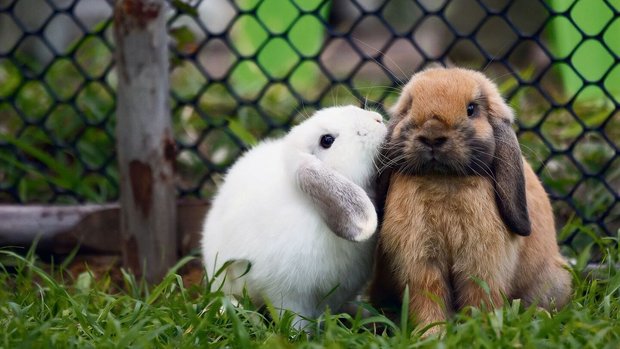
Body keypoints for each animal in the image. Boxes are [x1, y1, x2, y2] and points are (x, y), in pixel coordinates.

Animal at [370, 66, 572, 330]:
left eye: (471, 109)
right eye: (410, 106)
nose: (432, 135)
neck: (443, 180)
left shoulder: (481, 263)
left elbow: (480, 296)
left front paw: (481, 328)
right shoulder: (420, 261)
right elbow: (428, 296)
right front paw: (432, 332)